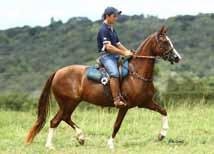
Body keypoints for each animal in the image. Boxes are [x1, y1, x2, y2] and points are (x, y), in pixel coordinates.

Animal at [25, 26, 182, 149]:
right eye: (165, 41)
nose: (177, 57)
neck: (136, 73)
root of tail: (58, 72)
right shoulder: (124, 106)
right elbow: (117, 125)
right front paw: (111, 144)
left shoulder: (146, 102)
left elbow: (163, 111)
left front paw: (162, 134)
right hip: (68, 103)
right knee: (57, 120)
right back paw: (51, 145)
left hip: (70, 103)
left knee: (63, 118)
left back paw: (79, 137)